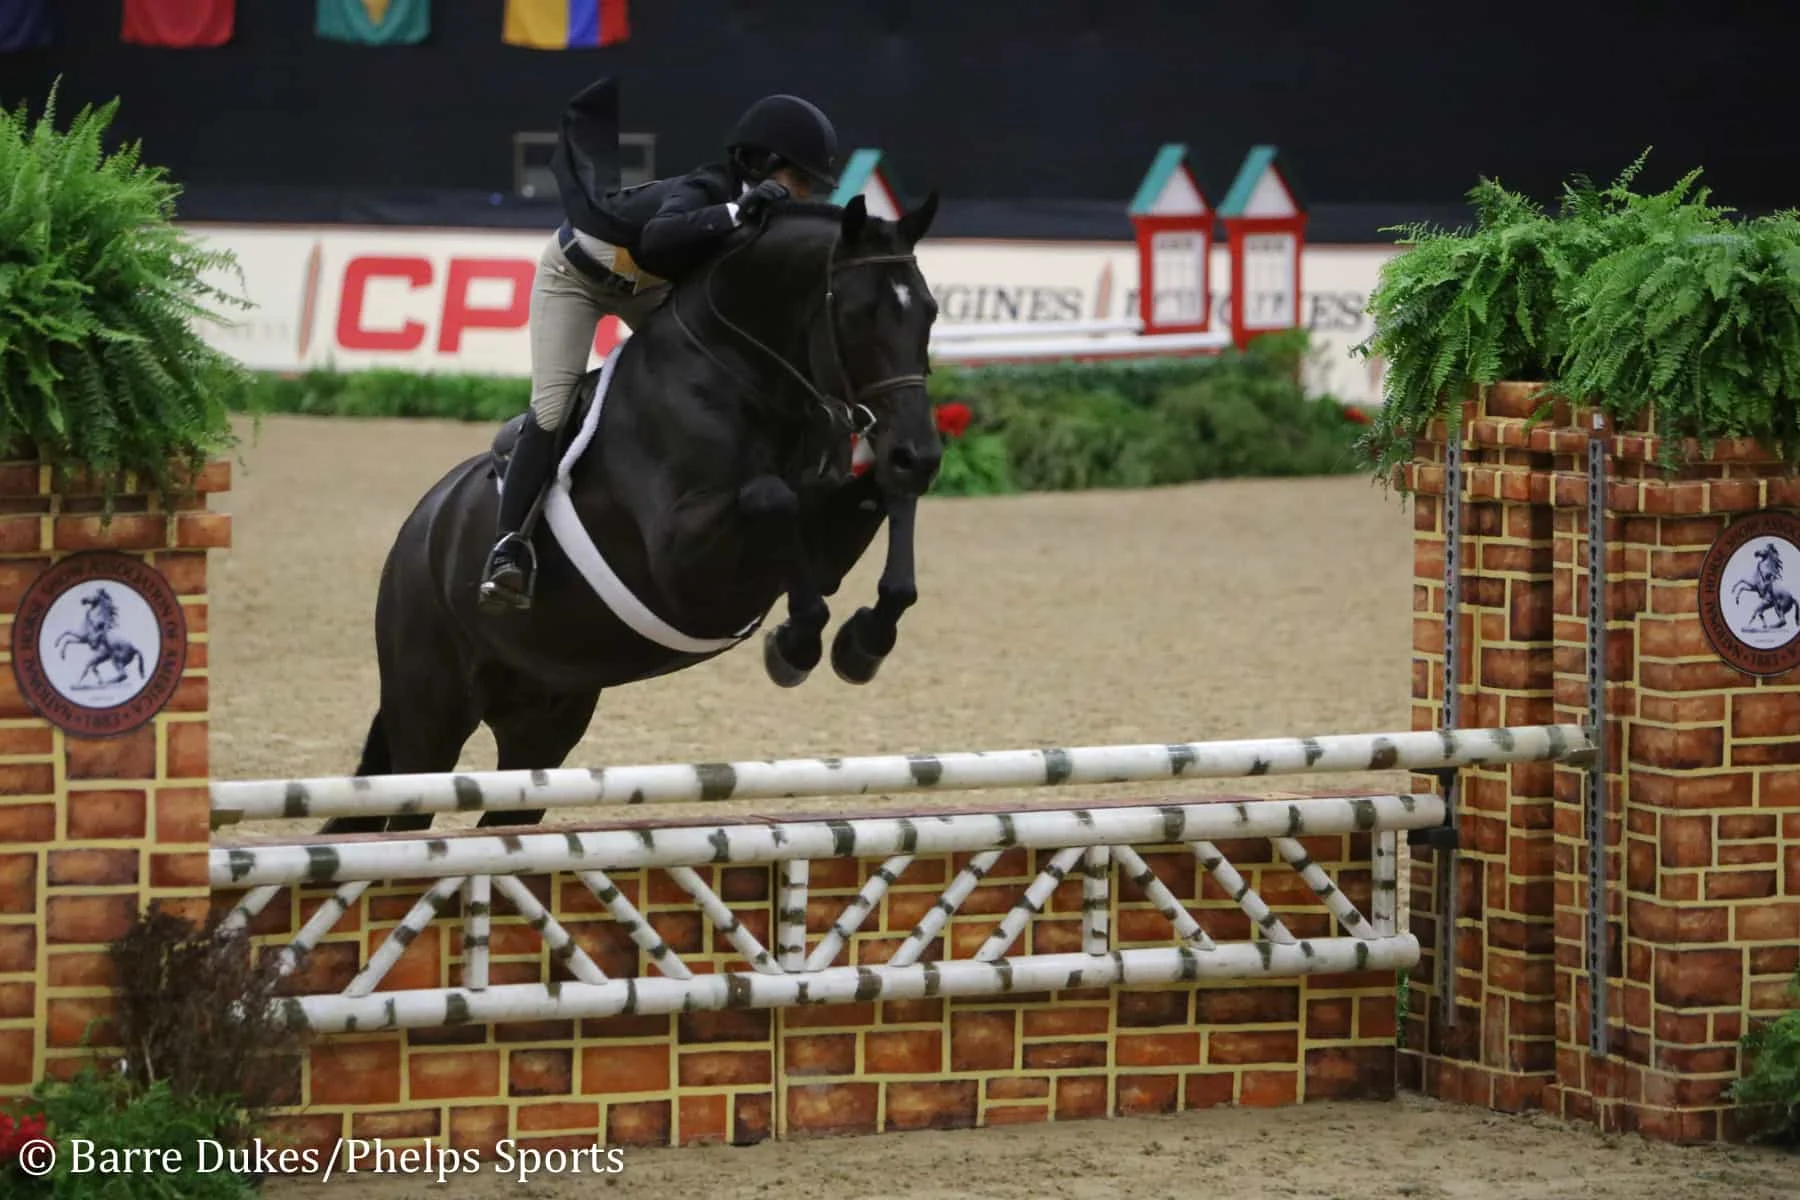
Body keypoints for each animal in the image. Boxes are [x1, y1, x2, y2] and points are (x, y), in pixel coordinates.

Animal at [321, 193, 943, 836]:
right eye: (859, 314)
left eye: (929, 311)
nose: (918, 454)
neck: (742, 374)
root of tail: (420, 530)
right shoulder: (685, 567)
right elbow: (772, 498)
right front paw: (795, 644)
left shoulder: (822, 547)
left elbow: (879, 510)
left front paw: (863, 641)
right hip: (433, 714)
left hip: (544, 723)